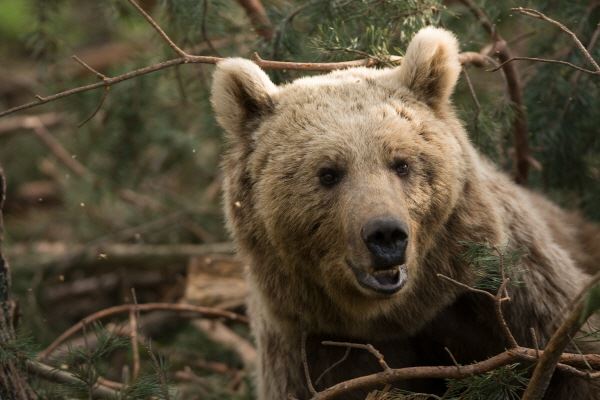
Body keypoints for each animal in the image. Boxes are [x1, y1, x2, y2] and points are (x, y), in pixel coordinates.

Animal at [210, 26, 600, 398]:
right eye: (328, 173)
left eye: (401, 163)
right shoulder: (313, 346)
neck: (399, 315)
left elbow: (575, 361)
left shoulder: (511, 294)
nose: (386, 235)